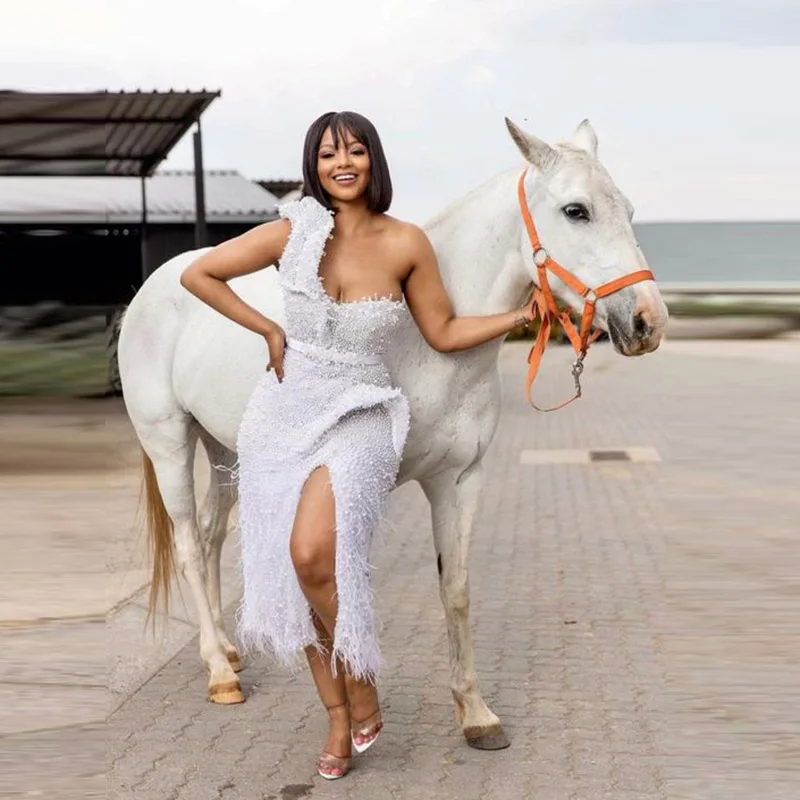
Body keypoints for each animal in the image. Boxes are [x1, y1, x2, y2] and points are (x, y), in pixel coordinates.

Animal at [117, 119, 668, 752]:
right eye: (576, 210)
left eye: (628, 208)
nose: (649, 321)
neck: (428, 347)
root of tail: (156, 286)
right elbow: (347, 584)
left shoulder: (460, 480)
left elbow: (456, 589)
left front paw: (475, 712)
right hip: (169, 443)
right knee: (187, 542)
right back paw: (218, 672)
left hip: (225, 450)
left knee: (209, 535)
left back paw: (231, 651)